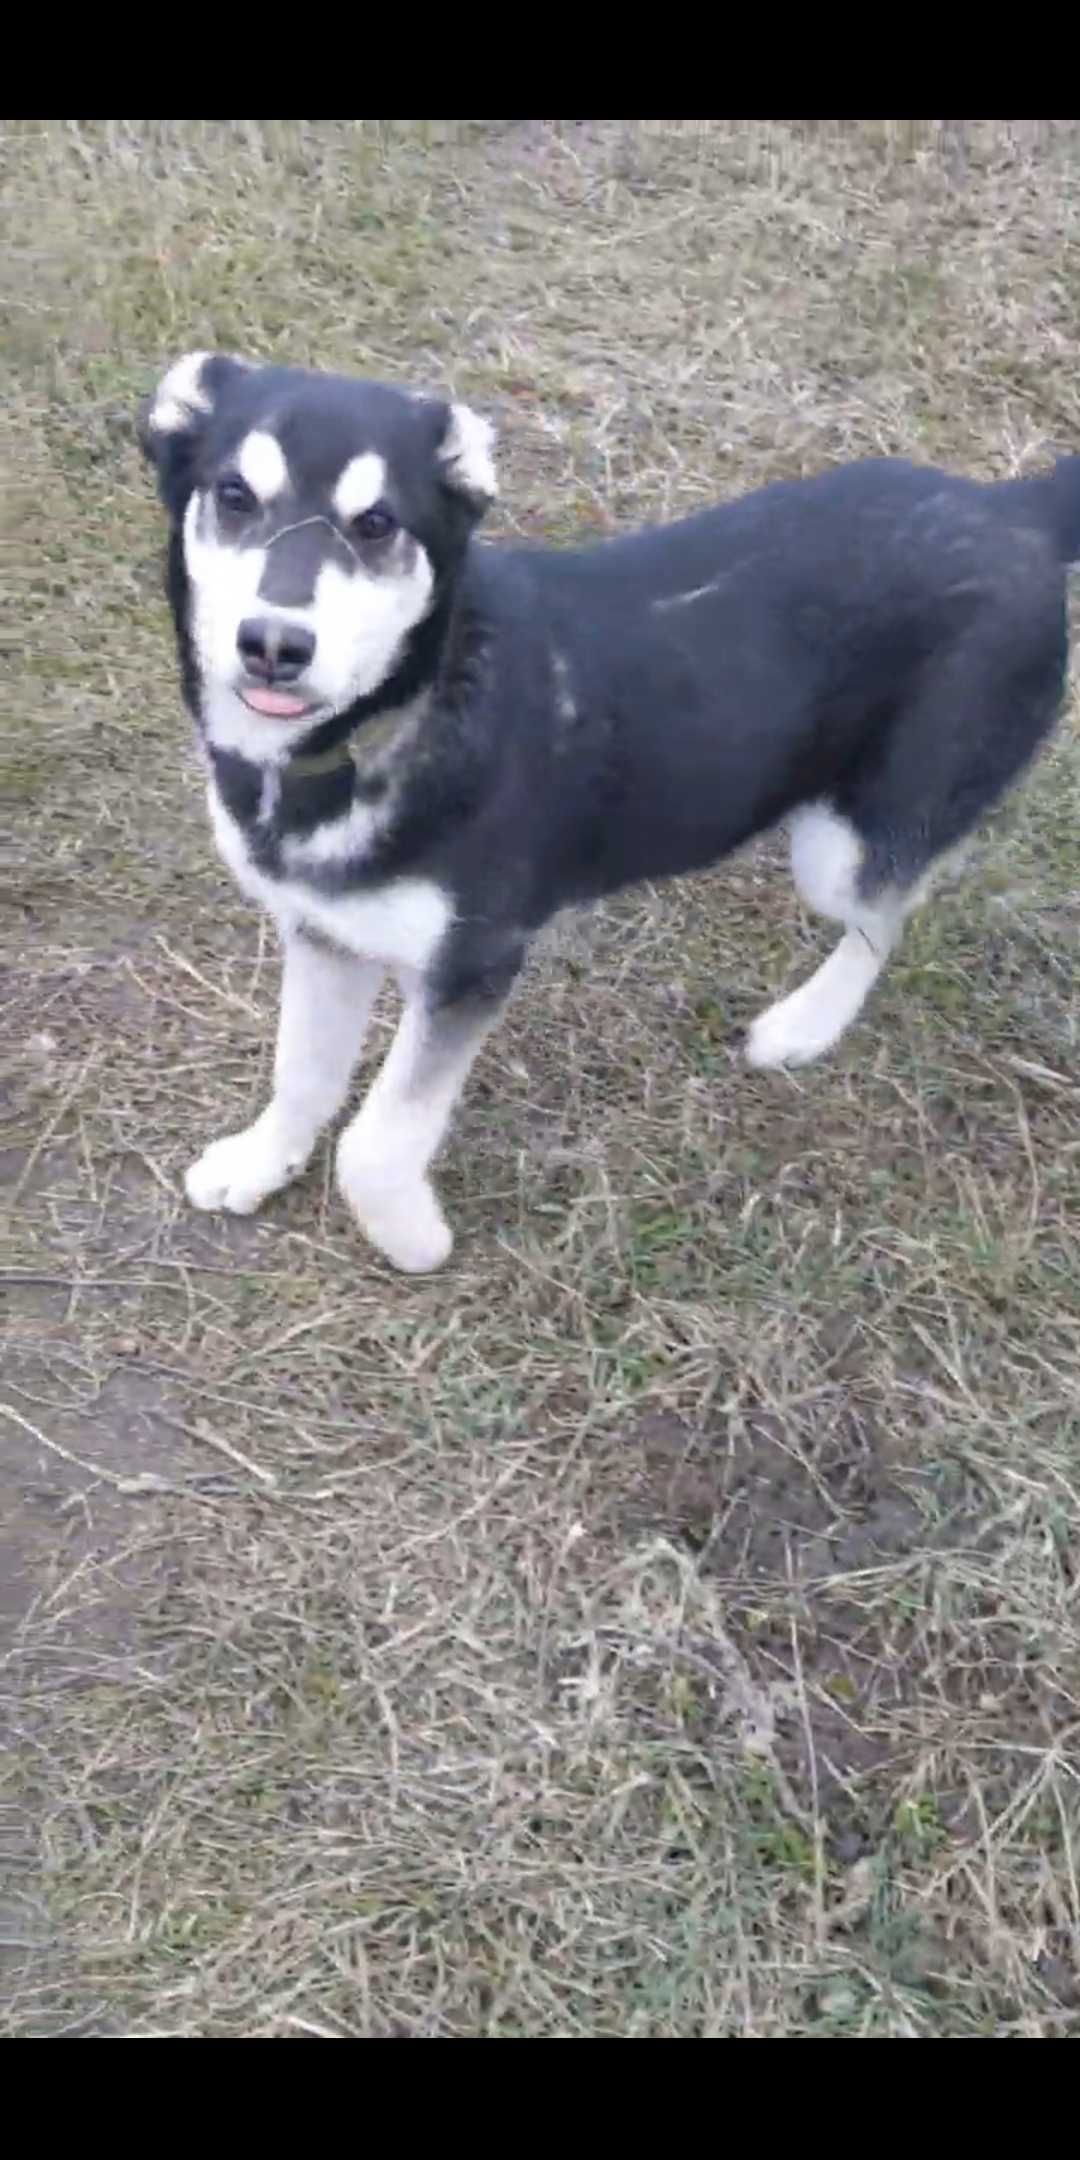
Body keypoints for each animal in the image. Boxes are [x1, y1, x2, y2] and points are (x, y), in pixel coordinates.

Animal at [135, 352, 1080, 1261]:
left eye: (376, 525)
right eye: (234, 496)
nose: (274, 645)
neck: (396, 714)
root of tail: (1012, 509)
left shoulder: (472, 964)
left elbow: (377, 1140)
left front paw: (410, 1238)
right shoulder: (324, 933)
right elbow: (302, 1073)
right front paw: (261, 1160)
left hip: (846, 846)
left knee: (884, 920)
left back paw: (805, 1025)